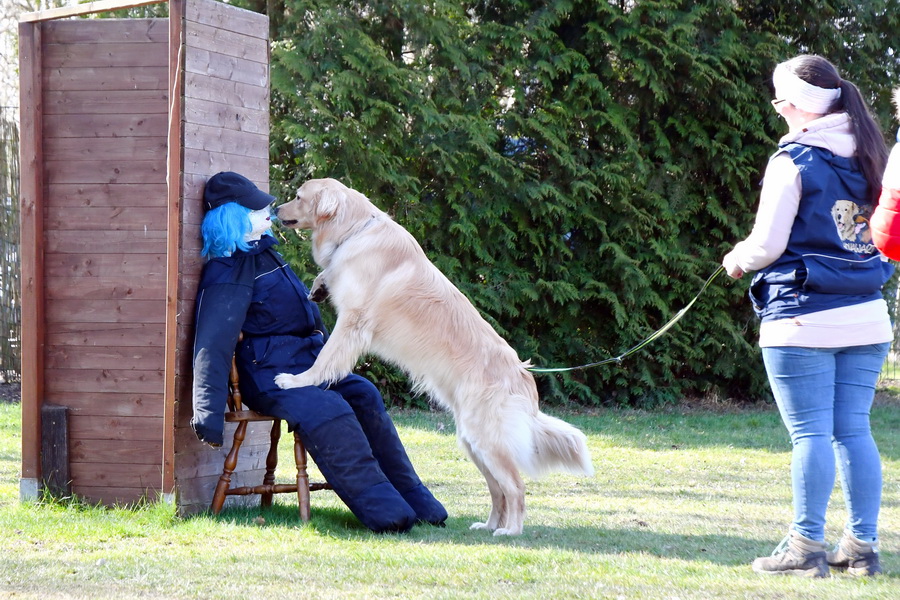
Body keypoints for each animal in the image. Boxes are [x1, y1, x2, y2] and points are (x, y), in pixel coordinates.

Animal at [278, 177, 596, 536]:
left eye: (298, 197)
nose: (275, 209)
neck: (355, 230)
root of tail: (524, 378)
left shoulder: (352, 321)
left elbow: (325, 358)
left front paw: (298, 380)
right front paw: (319, 286)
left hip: (487, 441)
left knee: (515, 486)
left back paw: (510, 530)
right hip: (472, 442)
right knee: (498, 489)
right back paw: (487, 525)